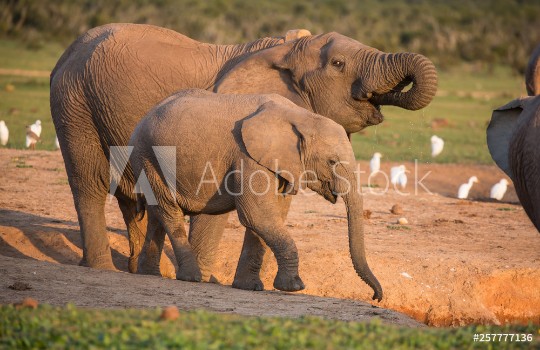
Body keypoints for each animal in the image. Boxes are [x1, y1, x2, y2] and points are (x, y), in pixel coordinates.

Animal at [130, 89, 384, 300]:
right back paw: (191, 278)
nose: (376, 297)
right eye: (331, 161)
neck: (302, 117)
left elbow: (270, 217)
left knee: (158, 213)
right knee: (168, 211)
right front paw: (294, 287)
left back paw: (150, 273)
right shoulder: (248, 157)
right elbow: (257, 215)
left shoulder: (280, 163)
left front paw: (250, 287)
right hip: (147, 156)